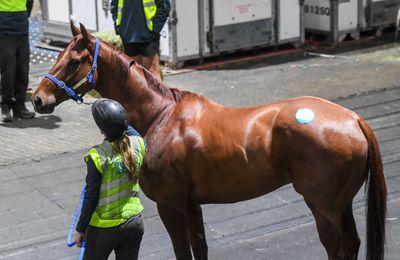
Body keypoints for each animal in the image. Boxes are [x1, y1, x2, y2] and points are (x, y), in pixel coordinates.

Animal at [32, 23, 386, 258]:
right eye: (59, 54)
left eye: (74, 59)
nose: (38, 99)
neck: (162, 115)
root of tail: (353, 119)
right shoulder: (192, 206)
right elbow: (199, 249)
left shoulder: (171, 206)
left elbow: (183, 251)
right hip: (338, 208)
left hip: (324, 208)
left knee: (340, 248)